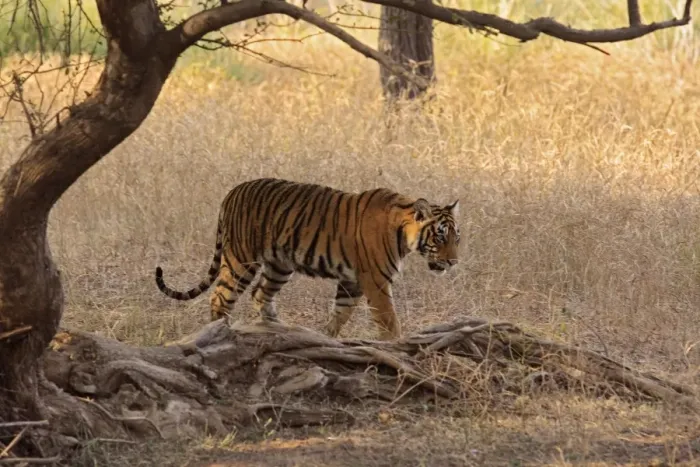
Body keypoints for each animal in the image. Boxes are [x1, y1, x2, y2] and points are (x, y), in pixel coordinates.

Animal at [154, 178, 460, 340]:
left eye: (456, 238)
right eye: (440, 237)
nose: (453, 262)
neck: (402, 231)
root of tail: (232, 192)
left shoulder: (352, 282)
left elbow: (340, 313)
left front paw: (326, 338)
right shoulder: (375, 281)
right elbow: (388, 320)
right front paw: (396, 344)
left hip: (279, 265)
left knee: (260, 294)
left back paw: (275, 326)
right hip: (241, 259)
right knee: (220, 297)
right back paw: (220, 331)